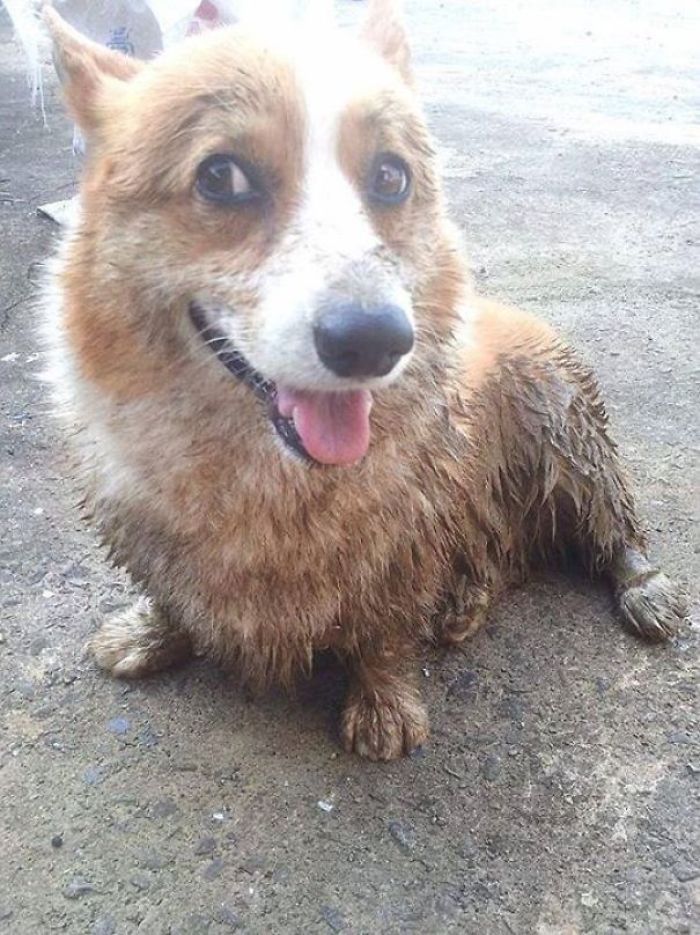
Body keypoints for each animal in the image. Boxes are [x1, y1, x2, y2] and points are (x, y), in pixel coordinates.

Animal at [41, 1, 688, 760]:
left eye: (390, 177)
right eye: (221, 176)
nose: (376, 340)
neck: (262, 469)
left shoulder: (407, 541)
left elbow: (383, 632)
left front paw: (384, 707)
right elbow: (171, 594)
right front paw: (150, 634)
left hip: (567, 434)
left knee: (612, 525)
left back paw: (639, 587)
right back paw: (465, 601)